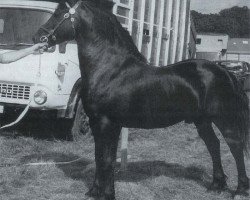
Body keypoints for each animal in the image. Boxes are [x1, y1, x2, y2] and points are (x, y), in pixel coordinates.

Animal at [33, 0, 250, 199]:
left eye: (59, 13)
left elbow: (106, 159)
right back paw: (216, 185)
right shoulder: (99, 123)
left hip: (224, 119)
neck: (110, 70)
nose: (37, 37)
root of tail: (226, 71)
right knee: (214, 145)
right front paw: (95, 191)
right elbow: (100, 156)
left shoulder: (107, 123)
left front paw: (106, 194)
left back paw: (240, 189)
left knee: (235, 145)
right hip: (202, 121)